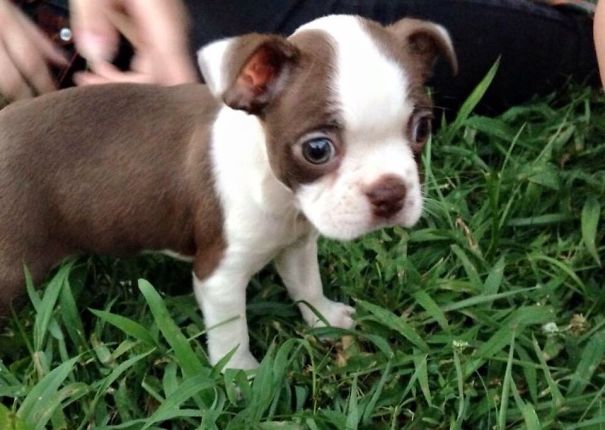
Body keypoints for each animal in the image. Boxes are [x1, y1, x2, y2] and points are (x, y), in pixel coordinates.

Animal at [0, 15, 452, 368]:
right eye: (317, 149)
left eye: (422, 128)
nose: (390, 192)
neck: (280, 193)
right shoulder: (218, 274)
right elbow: (232, 331)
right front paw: (241, 377)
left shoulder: (296, 243)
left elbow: (306, 284)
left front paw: (324, 318)